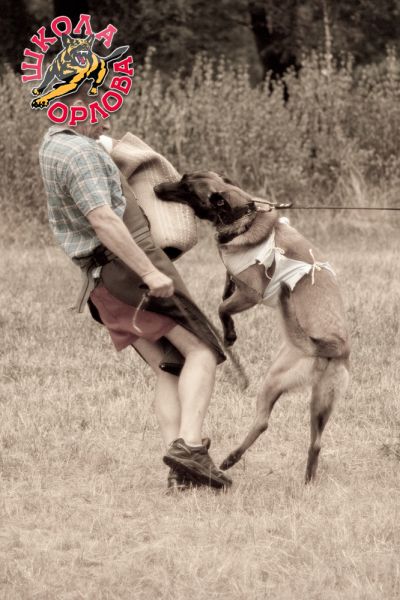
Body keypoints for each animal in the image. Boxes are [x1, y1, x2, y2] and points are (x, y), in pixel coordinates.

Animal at [154, 171, 350, 483]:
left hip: (273, 378)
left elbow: (222, 308)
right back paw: (306, 479)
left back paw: (230, 458)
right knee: (315, 442)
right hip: (320, 400)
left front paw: (229, 334)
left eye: (186, 187)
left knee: (262, 423)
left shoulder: (250, 294)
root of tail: (335, 345)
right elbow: (225, 291)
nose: (157, 187)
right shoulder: (235, 284)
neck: (244, 213)